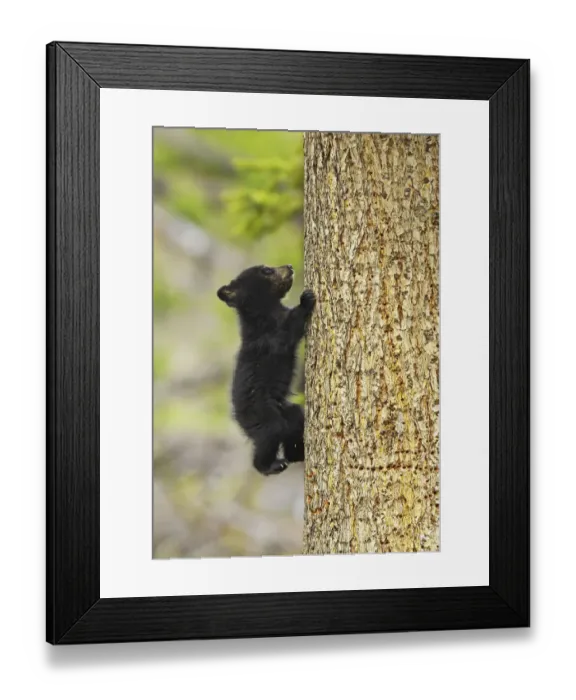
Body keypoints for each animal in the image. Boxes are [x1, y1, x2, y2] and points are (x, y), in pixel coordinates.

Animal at [217, 264, 316, 475]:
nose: (289, 266)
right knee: (271, 434)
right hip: (262, 414)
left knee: (294, 421)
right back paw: (272, 465)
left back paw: (299, 454)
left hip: (285, 410)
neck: (265, 315)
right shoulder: (269, 340)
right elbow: (288, 332)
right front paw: (305, 300)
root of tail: (238, 418)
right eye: (266, 271)